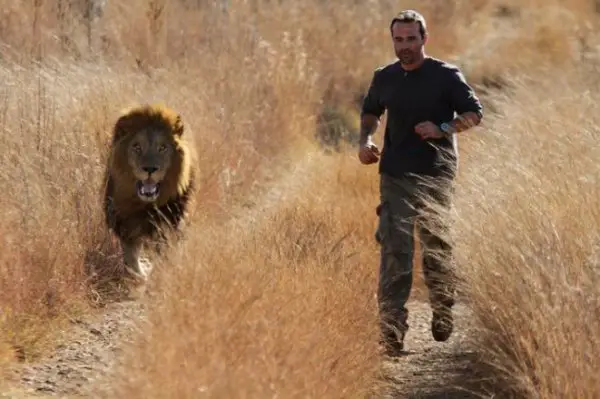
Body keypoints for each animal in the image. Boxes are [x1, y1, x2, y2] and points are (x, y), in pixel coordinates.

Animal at [102, 104, 197, 284]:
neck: (143, 205)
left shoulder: (168, 224)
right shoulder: (126, 225)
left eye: (163, 148)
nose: (150, 169)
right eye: (137, 147)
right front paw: (140, 275)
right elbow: (131, 259)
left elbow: (163, 255)